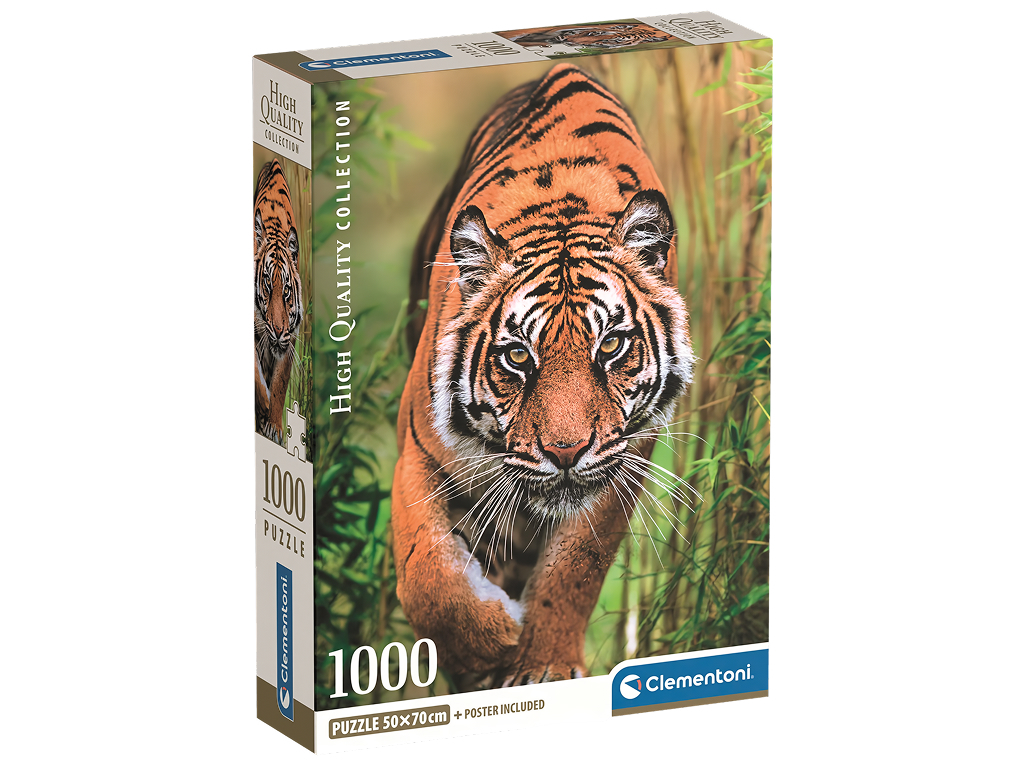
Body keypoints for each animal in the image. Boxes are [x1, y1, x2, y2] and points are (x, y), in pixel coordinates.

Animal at [392, 64, 695, 687]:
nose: (565, 452)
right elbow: (427, 576)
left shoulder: (622, 461)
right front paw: (484, 646)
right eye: (517, 357)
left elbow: (575, 567)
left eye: (612, 346)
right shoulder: (419, 453)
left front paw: (545, 667)